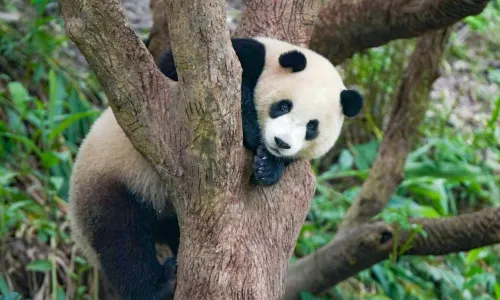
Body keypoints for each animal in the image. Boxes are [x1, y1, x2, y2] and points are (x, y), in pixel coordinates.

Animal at [68, 37, 362, 300]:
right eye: (283, 106)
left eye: (312, 127)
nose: (281, 142)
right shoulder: (239, 57)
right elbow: (178, 71)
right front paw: (251, 132)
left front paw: (269, 166)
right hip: (114, 180)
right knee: (122, 240)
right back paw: (159, 286)